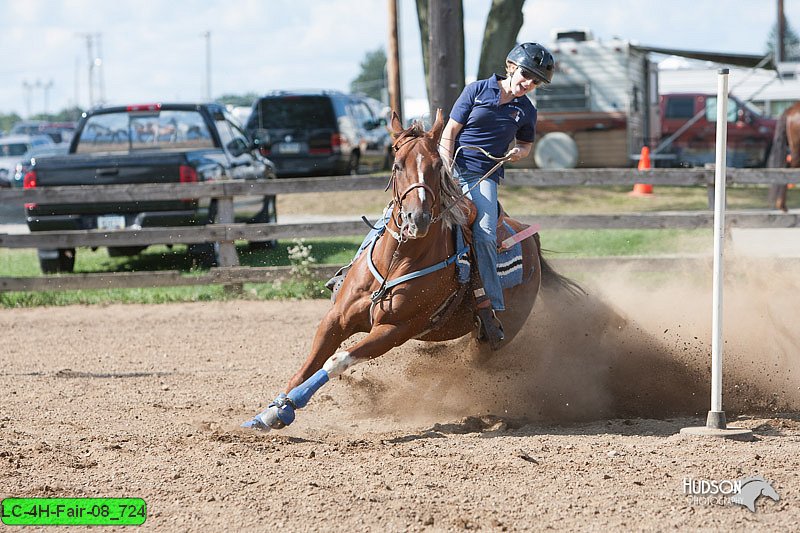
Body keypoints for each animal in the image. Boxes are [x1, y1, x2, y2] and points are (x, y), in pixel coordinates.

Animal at [241, 109, 580, 432]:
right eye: (397, 165)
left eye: (437, 166)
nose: (417, 218)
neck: (396, 260)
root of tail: (528, 237)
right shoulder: (336, 318)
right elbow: (309, 365)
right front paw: (270, 412)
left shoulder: (394, 330)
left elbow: (336, 362)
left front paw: (287, 409)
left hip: (492, 338)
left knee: (461, 371)